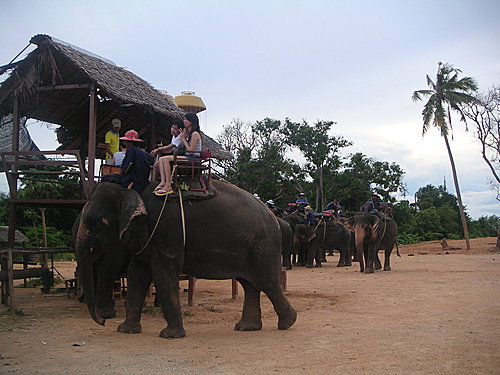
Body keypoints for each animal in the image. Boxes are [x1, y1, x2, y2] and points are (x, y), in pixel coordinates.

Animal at [74, 181, 296, 340]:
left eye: (96, 222)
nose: (102, 321)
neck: (133, 192)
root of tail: (274, 217)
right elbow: (137, 274)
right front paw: (126, 331)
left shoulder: (166, 231)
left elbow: (163, 274)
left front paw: (170, 336)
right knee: (249, 284)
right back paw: (246, 328)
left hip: (262, 246)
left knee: (266, 282)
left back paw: (287, 323)